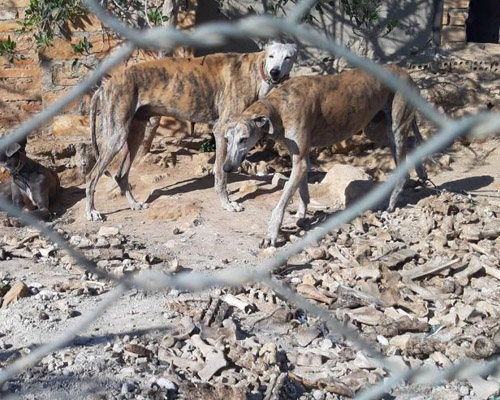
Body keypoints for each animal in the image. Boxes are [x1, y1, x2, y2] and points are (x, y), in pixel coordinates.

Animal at [86, 43, 296, 222]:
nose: (275, 72)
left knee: (121, 175)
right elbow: (222, 175)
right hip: (116, 136)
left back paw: (134, 204)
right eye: (271, 56)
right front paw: (227, 204)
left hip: (135, 134)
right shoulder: (221, 131)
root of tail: (105, 86)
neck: (255, 70)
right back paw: (92, 211)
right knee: (92, 176)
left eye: (288, 57)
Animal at [223, 65, 430, 247]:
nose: (226, 168)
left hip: (395, 127)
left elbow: (281, 203)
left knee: (404, 171)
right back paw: (421, 170)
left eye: (243, 139)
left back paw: (392, 203)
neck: (279, 106)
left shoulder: (300, 162)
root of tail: (405, 73)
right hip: (376, 130)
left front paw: (271, 234)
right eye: (226, 139)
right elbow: (302, 192)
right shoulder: (301, 158)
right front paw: (300, 216)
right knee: (412, 142)